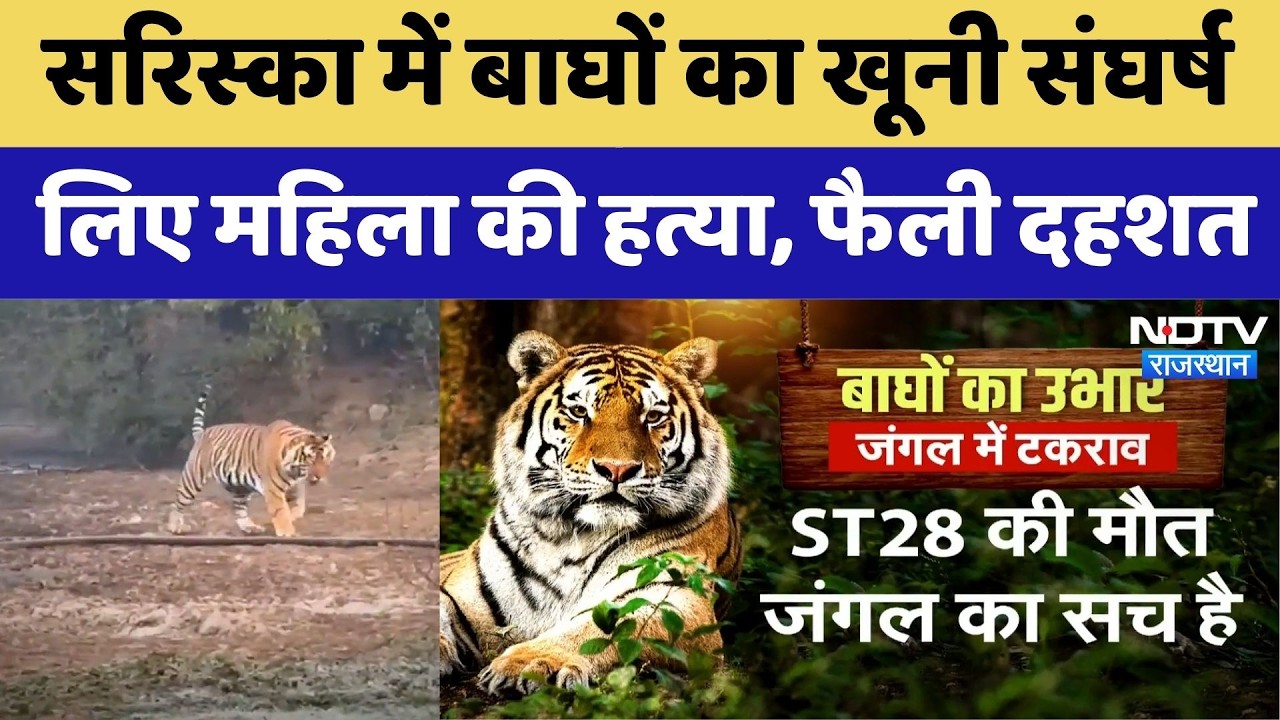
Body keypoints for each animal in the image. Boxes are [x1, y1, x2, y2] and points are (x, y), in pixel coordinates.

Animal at [165, 387, 336, 538]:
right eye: (310, 460)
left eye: (325, 458)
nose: (320, 477)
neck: (295, 472)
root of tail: (203, 433)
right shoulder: (273, 490)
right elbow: (281, 510)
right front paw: (287, 531)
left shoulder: (295, 486)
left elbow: (296, 506)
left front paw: (292, 517)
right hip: (192, 479)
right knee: (177, 504)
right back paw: (175, 527)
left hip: (240, 487)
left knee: (239, 509)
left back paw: (250, 528)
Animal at [440, 331, 742, 695]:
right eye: (578, 411)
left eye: (653, 416)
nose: (617, 469)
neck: (567, 537)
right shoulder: (460, 593)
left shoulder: (674, 599)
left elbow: (603, 628)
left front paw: (530, 662)